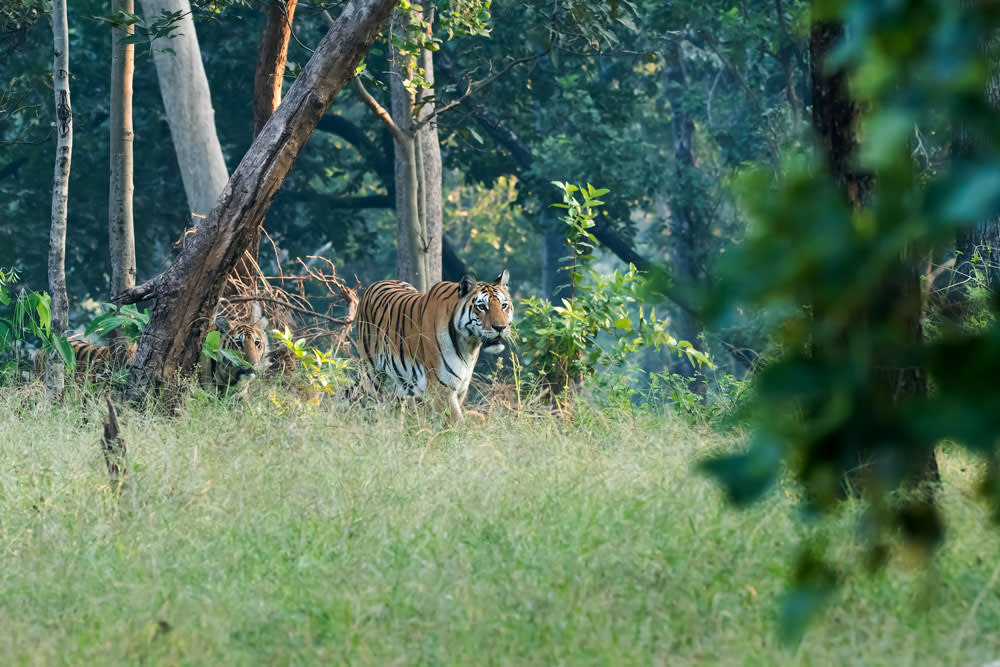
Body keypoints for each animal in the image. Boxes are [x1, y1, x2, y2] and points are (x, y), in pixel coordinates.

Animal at [354, 268, 516, 420]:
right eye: (481, 307)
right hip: (370, 375)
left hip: (401, 383)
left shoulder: (461, 389)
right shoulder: (442, 388)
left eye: (504, 305)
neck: (469, 345)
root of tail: (374, 284)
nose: (500, 327)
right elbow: (456, 424)